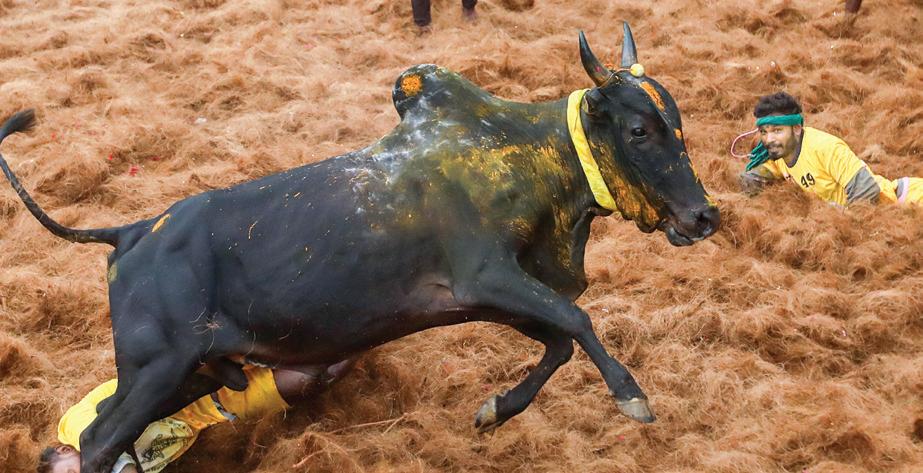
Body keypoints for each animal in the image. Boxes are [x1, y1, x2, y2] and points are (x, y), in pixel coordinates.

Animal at [0, 23, 718, 473]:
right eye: (639, 128)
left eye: (677, 122)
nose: (704, 215)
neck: (520, 154)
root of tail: (129, 233)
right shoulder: (484, 277)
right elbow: (577, 320)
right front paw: (631, 395)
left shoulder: (489, 298)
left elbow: (560, 341)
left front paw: (493, 412)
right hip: (157, 368)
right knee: (98, 442)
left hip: (192, 371)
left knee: (101, 430)